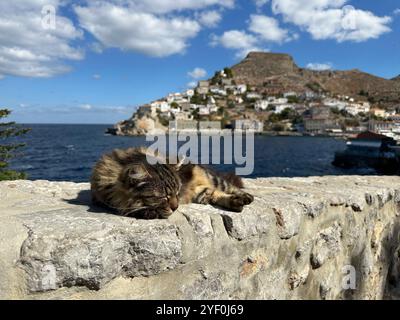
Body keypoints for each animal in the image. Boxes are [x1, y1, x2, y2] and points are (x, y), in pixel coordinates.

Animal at [90, 148, 253, 220]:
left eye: (177, 193)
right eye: (163, 196)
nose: (176, 207)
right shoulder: (102, 198)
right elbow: (128, 207)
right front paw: (148, 211)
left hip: (214, 180)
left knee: (231, 188)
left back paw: (244, 197)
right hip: (202, 192)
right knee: (216, 195)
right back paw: (236, 203)